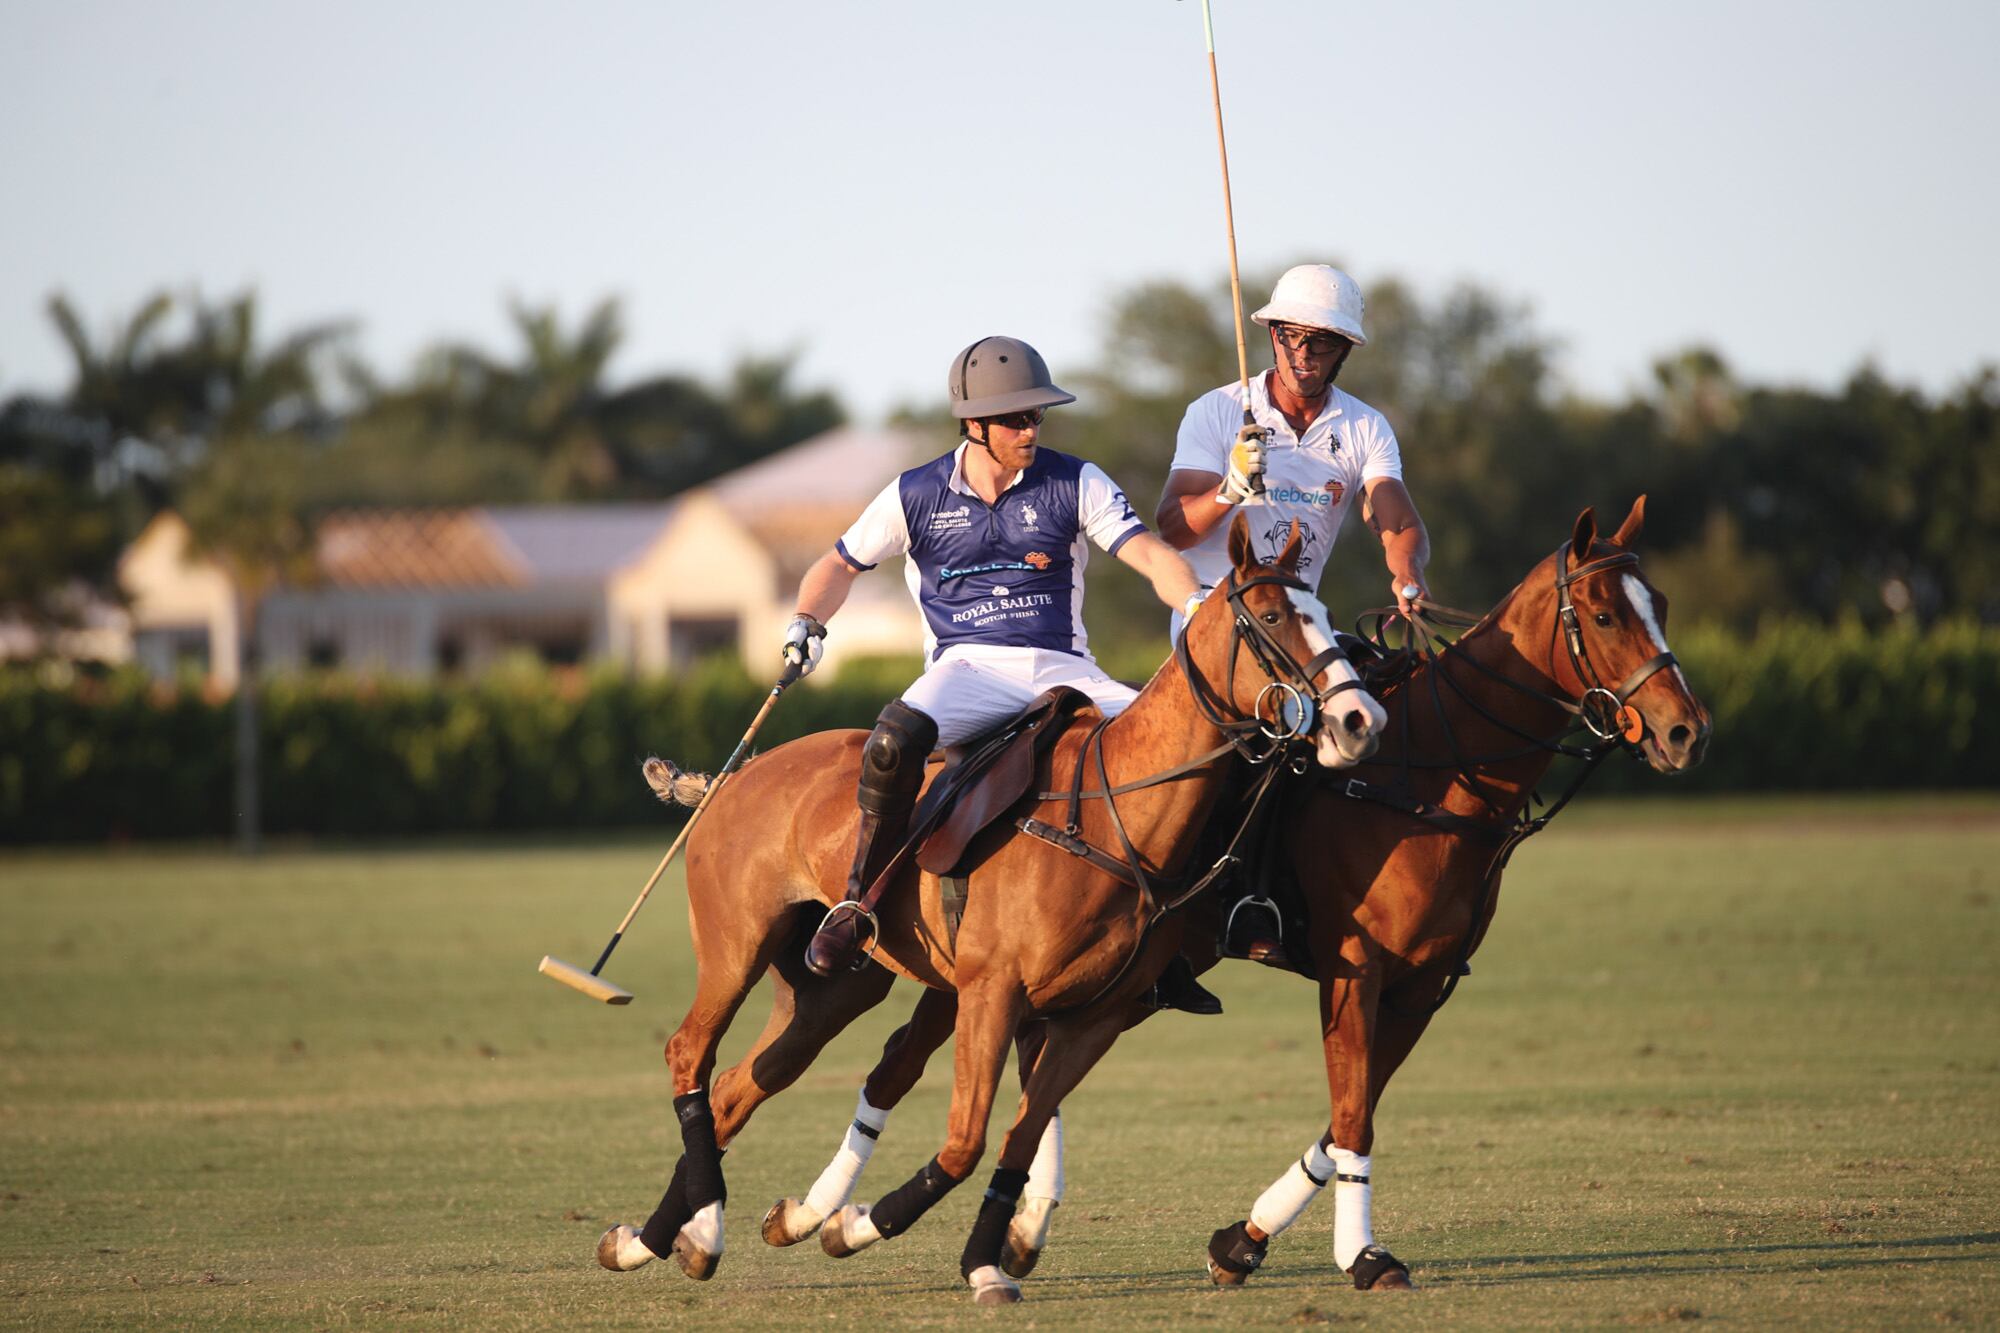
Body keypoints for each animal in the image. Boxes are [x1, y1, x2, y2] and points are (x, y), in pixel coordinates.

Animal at [584, 512, 1384, 1304]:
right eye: (1274, 616)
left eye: (1326, 616)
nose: (1358, 719)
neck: (1110, 813)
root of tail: (737, 773)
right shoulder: (994, 991)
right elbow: (967, 1139)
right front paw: (871, 1230)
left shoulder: (1094, 1016)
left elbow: (1017, 1138)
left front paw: (973, 1255)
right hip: (737, 945)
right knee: (691, 1053)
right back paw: (682, 1227)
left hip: (829, 987)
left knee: (739, 1084)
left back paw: (670, 1238)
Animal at [756, 496, 1712, 1288]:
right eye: (1601, 613)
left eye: (1662, 603)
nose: (1684, 732)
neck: (1431, 773)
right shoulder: (1356, 968)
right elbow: (1354, 1112)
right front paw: (1360, 1256)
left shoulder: (1423, 984)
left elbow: (1348, 1113)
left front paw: (1242, 1241)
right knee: (908, 1063)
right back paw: (825, 1214)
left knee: (973, 1063)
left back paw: (930, 1223)